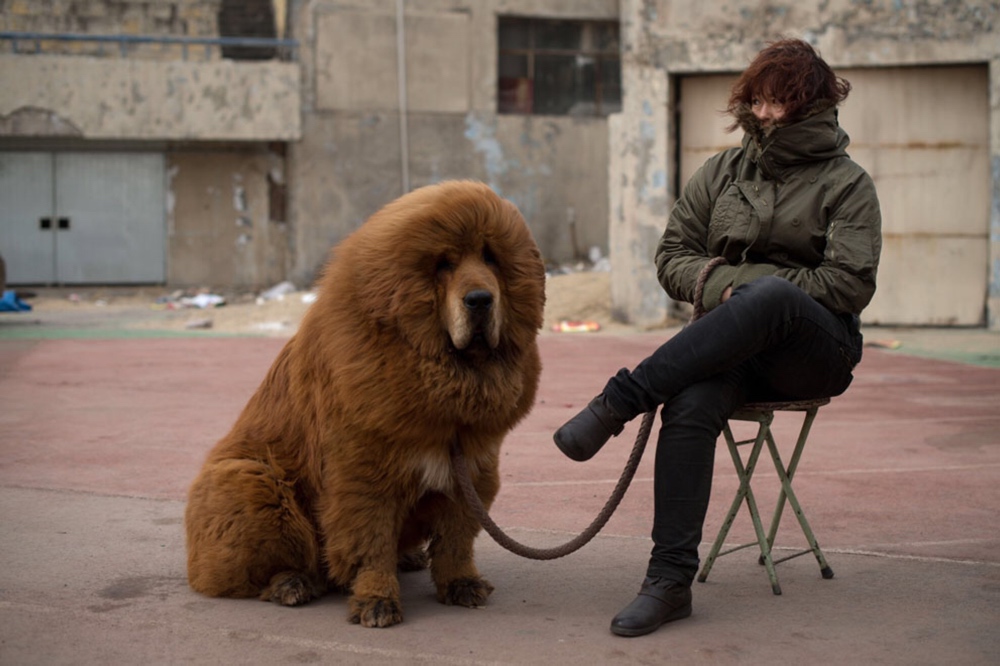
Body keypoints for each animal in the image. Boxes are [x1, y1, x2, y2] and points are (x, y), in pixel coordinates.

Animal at [188, 179, 548, 624]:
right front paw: (376, 600)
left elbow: (456, 540)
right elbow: (369, 542)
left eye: (490, 258)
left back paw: (408, 558)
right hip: (252, 482)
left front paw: (461, 583)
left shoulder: (473, 468)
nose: (480, 299)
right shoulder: (364, 474)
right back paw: (292, 583)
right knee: (264, 566)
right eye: (444, 264)